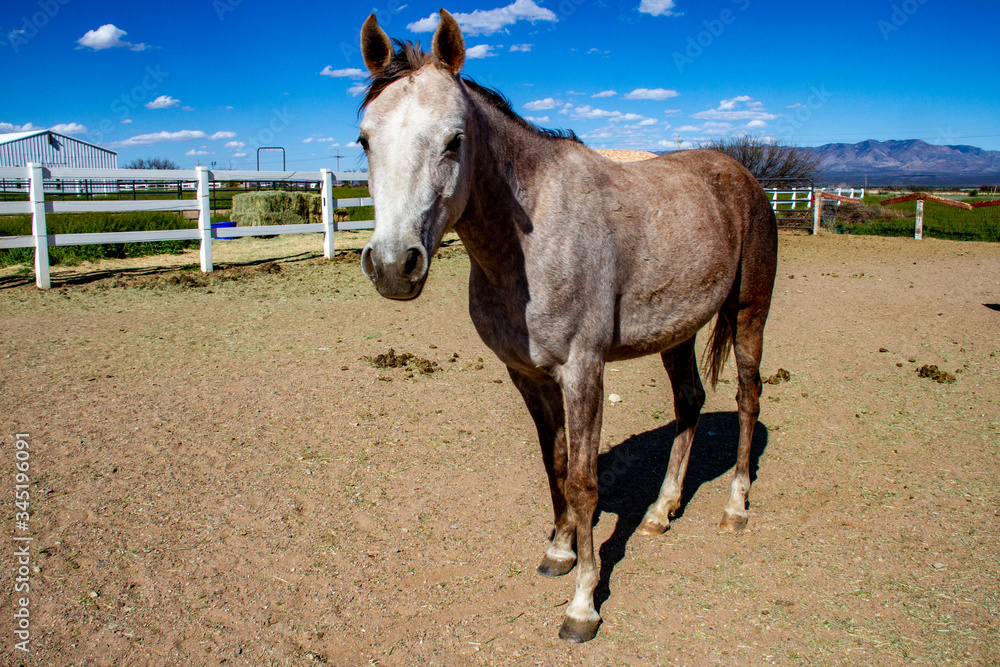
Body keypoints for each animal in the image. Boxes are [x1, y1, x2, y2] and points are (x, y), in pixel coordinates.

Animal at [356, 9, 778, 643]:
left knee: (748, 398)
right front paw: (559, 551)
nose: (391, 265)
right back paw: (661, 512)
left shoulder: (583, 372)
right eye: (364, 140)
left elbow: (583, 480)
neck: (530, 239)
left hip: (749, 313)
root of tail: (743, 174)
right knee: (690, 401)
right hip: (676, 333)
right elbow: (553, 461)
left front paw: (583, 604)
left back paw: (734, 507)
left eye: (455, 140)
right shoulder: (527, 374)